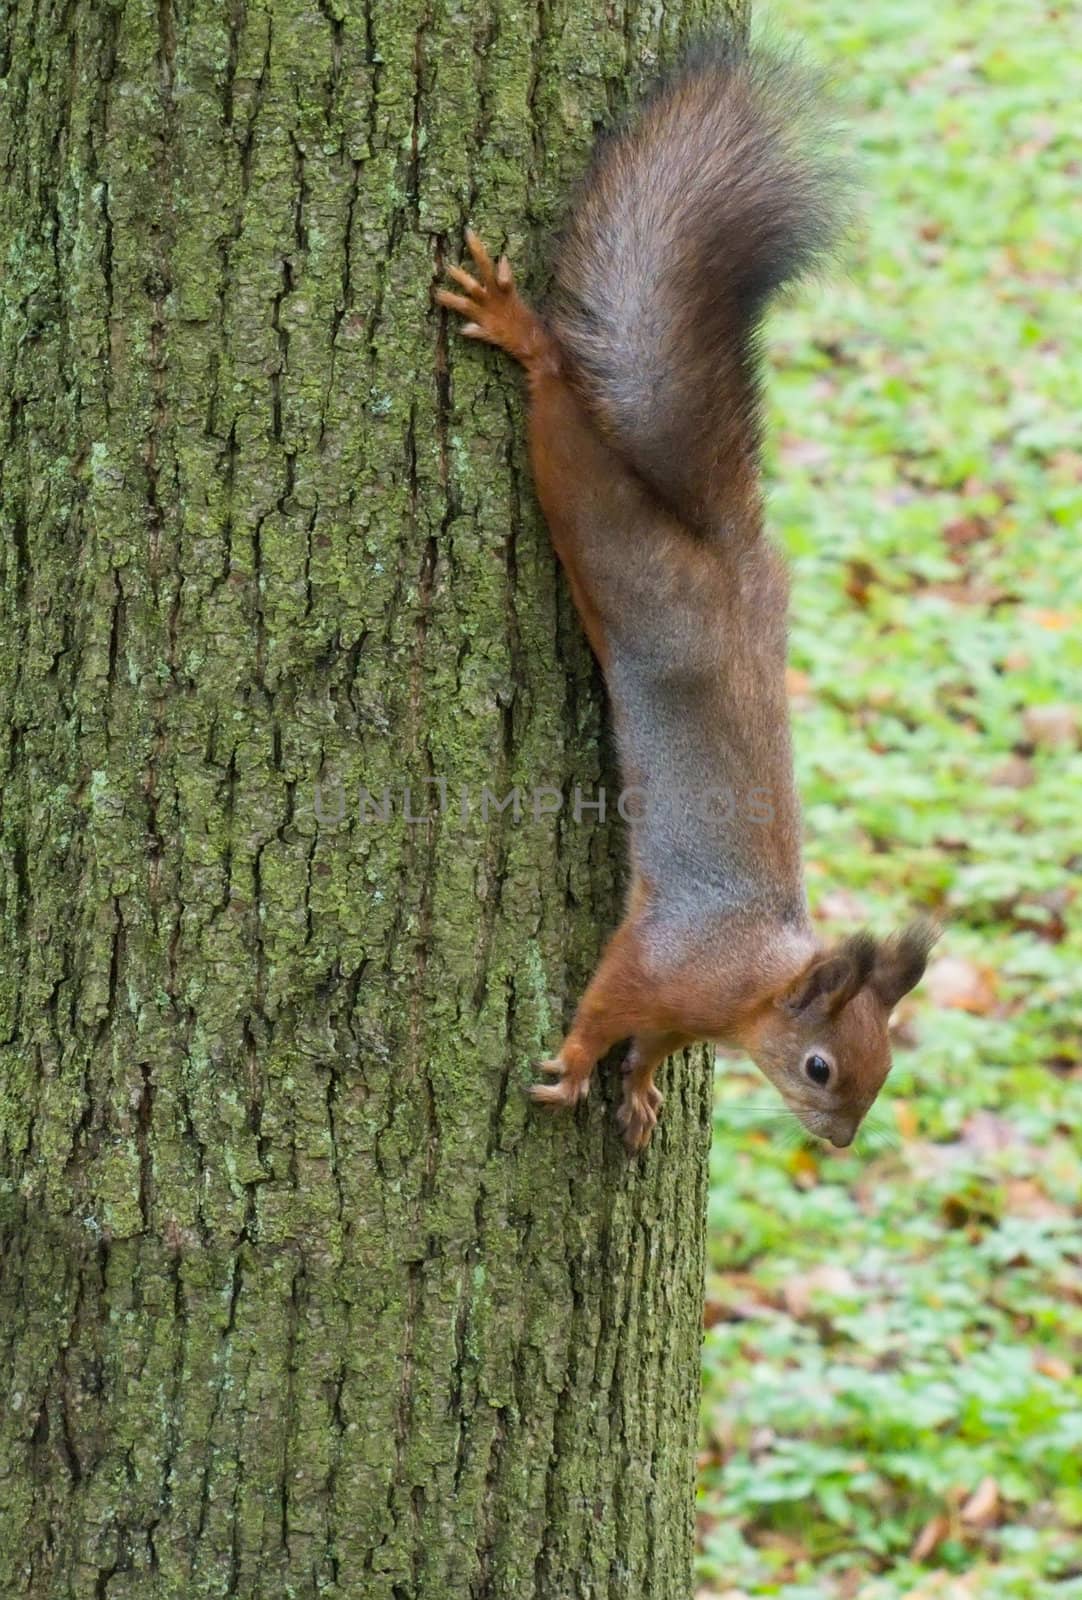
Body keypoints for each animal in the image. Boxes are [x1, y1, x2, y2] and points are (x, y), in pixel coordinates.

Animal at [435, 37, 934, 1158]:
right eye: (821, 1066)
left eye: (882, 1075)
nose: (840, 1142)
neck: (748, 982)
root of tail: (724, 550)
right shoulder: (658, 960)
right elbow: (603, 1005)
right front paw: (577, 1068)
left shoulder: (684, 1007)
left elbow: (653, 1044)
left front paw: (640, 1090)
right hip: (601, 528)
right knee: (558, 407)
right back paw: (517, 330)